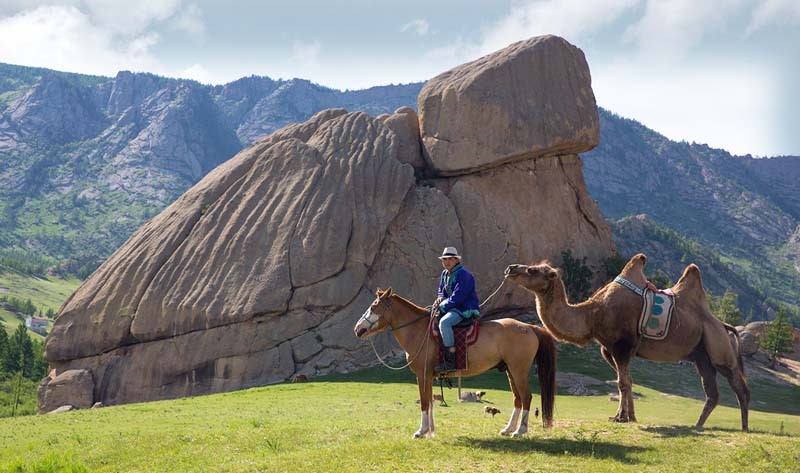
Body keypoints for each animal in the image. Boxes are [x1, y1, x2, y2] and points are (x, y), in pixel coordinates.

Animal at [354, 288, 560, 438]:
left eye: (373, 307)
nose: (357, 328)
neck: (419, 331)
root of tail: (529, 327)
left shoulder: (422, 374)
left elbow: (424, 402)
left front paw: (421, 431)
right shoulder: (429, 376)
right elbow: (430, 401)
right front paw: (431, 431)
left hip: (519, 371)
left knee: (526, 397)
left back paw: (520, 431)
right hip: (510, 371)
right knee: (518, 399)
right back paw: (508, 429)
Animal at [506, 253, 752, 430]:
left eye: (533, 270)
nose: (511, 268)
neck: (593, 314)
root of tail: (725, 326)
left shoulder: (622, 345)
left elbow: (622, 382)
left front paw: (621, 418)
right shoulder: (608, 349)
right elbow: (626, 381)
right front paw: (629, 416)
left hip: (720, 350)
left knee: (739, 387)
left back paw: (744, 428)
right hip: (702, 356)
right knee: (712, 393)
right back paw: (698, 425)